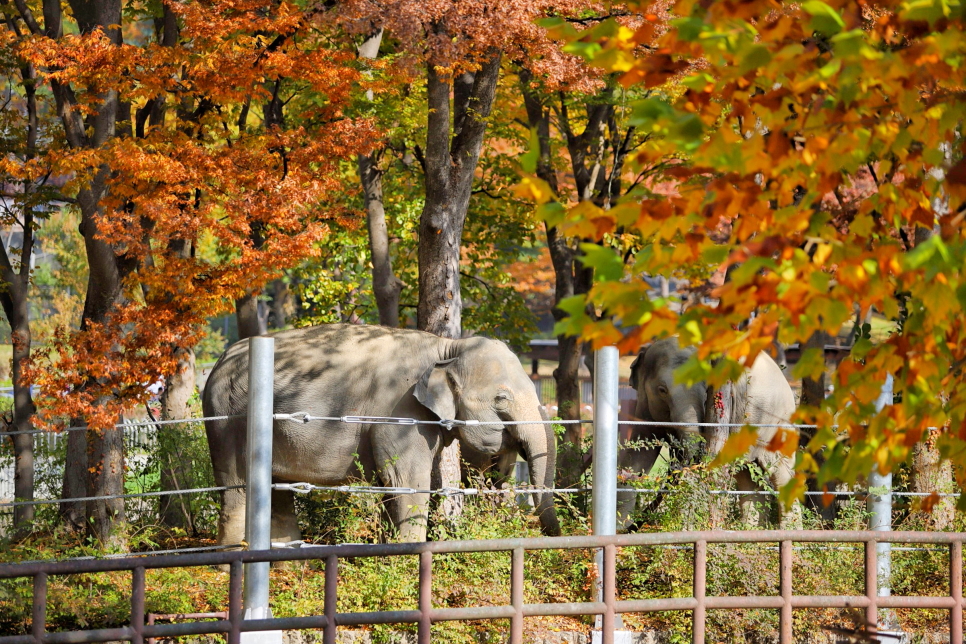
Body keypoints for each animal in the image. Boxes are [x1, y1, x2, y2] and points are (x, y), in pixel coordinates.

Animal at [204, 324, 564, 544]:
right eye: (501, 398)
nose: (558, 537)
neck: (448, 347)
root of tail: (219, 361)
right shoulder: (399, 411)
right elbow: (405, 479)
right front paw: (408, 557)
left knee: (276, 488)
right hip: (228, 418)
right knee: (236, 485)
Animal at [620, 338, 800, 528]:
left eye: (707, 388)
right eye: (662, 390)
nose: (637, 524)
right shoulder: (644, 407)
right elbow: (636, 457)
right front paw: (621, 526)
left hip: (775, 421)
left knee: (779, 472)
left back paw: (789, 529)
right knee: (747, 474)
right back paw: (748, 528)